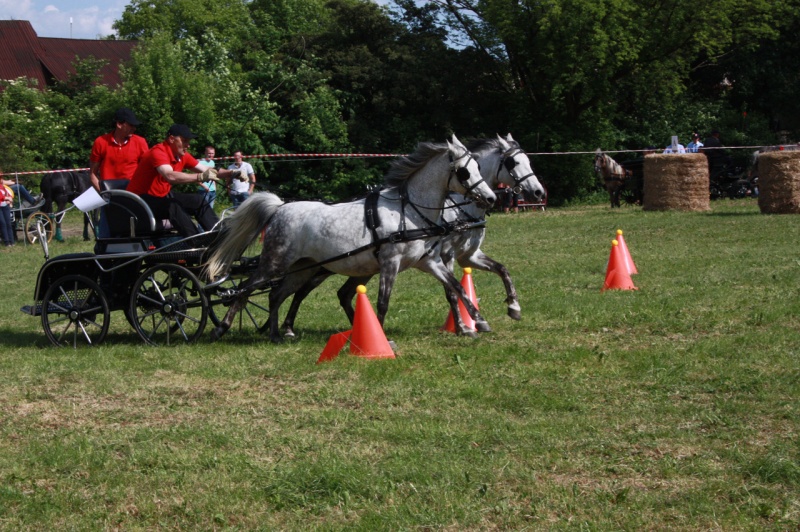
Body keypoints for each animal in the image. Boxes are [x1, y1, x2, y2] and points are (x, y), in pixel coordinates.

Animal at [204, 135, 498, 342]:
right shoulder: (390, 262)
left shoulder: (429, 261)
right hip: (274, 264)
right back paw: (221, 329)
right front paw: (378, 335)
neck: (408, 211)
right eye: (465, 171)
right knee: (246, 289)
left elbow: (456, 287)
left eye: (478, 166)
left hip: (302, 268)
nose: (491, 198)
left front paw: (479, 321)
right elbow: (383, 301)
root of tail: (280, 208)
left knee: (276, 295)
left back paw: (277, 334)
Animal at [278, 134, 546, 337]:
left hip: (361, 268)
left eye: (528, 160)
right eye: (512, 163)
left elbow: (501, 270)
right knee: (300, 290)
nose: (538, 192)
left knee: (342, 293)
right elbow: (451, 291)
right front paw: (463, 327)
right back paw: (287, 327)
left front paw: (513, 307)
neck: (458, 209)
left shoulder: (468, 256)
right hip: (323, 266)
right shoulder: (446, 255)